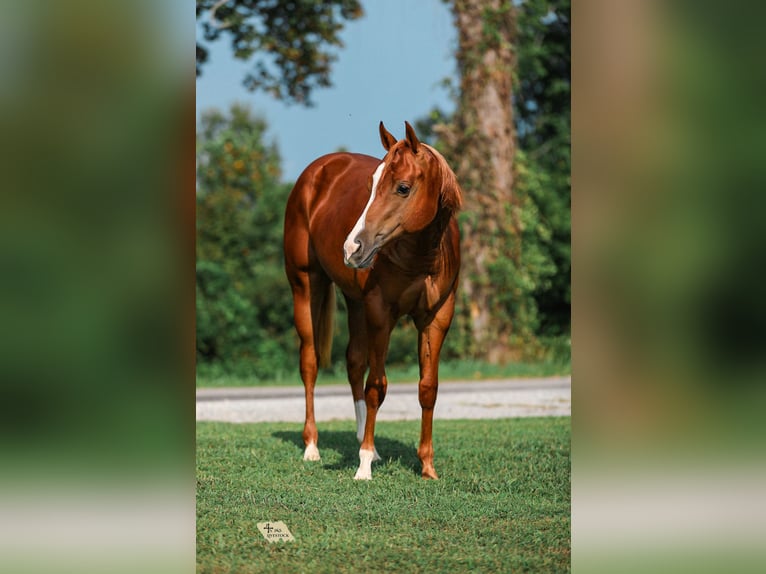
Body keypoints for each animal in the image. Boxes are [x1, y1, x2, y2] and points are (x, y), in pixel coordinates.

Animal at [283, 121, 462, 480]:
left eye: (403, 188)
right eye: (370, 185)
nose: (352, 248)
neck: (422, 256)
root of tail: (315, 172)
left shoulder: (437, 317)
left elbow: (428, 387)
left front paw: (427, 466)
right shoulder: (381, 313)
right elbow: (377, 386)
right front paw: (363, 465)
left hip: (355, 303)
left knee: (353, 362)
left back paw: (366, 442)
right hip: (306, 287)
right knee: (310, 364)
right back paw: (312, 447)